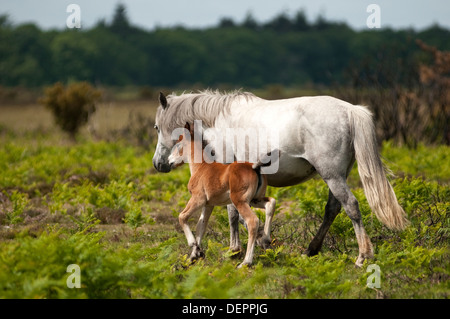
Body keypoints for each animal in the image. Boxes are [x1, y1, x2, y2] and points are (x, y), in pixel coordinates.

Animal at [153, 90, 410, 268]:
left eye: (156, 127)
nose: (158, 164)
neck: (217, 124)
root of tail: (350, 110)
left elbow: (233, 215)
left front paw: (236, 250)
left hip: (332, 176)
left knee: (351, 207)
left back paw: (362, 256)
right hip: (338, 176)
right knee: (333, 209)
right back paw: (311, 250)